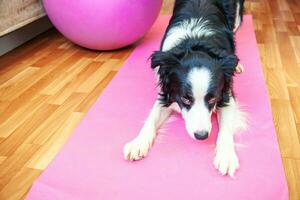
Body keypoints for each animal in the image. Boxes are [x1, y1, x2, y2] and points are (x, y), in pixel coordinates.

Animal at [124, 0, 246, 177]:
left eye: (212, 99)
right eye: (185, 99)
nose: (201, 136)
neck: (196, 43)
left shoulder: (226, 94)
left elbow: (226, 128)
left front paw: (226, 156)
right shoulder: (167, 90)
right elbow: (151, 118)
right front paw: (138, 142)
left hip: (236, 15)